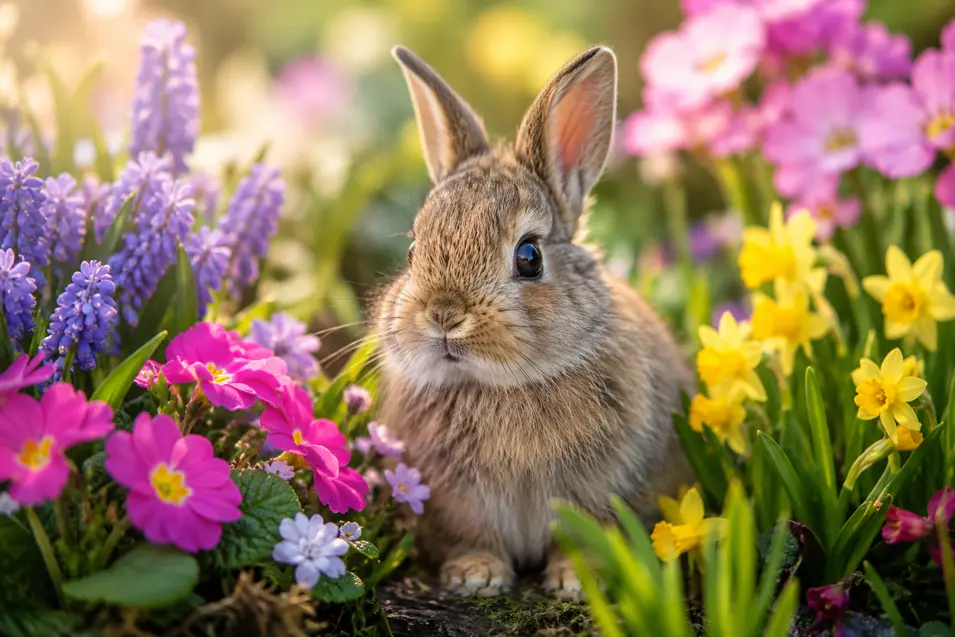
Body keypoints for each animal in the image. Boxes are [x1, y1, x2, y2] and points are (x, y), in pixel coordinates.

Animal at [372, 44, 694, 600]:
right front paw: (474, 575)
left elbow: (585, 538)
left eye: (529, 257)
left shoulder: (598, 493)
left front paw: (577, 582)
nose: (444, 315)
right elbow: (474, 536)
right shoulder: (459, 503)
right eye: (413, 251)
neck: (500, 385)